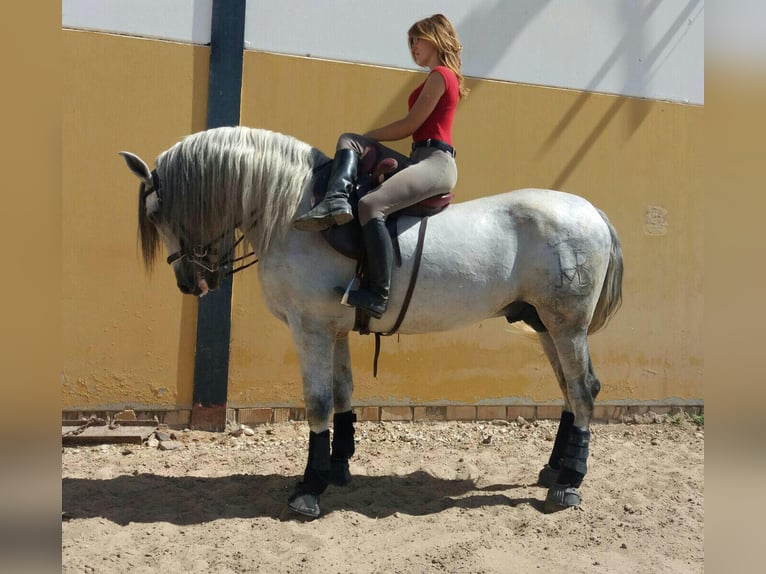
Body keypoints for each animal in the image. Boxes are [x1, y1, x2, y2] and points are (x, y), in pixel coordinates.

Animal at [120, 125, 624, 516]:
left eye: (156, 212)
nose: (190, 282)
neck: (290, 210)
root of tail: (592, 213)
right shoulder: (335, 330)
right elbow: (343, 395)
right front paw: (337, 468)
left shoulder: (310, 329)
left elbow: (318, 402)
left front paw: (310, 487)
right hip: (546, 325)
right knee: (567, 389)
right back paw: (554, 469)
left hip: (567, 325)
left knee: (583, 389)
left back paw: (570, 481)